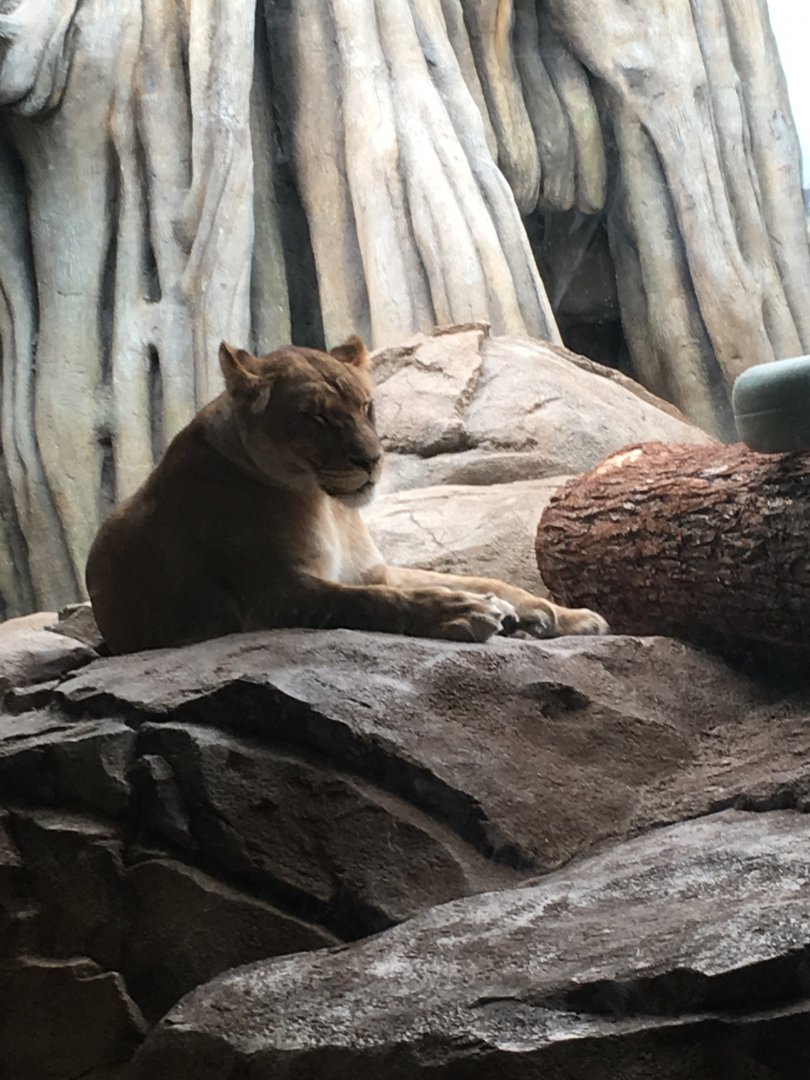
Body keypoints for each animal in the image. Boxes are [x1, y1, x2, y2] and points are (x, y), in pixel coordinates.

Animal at [85, 336, 608, 654]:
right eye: (316, 417)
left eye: (366, 406)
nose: (372, 460)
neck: (326, 504)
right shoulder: (272, 594)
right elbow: (373, 603)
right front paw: (467, 612)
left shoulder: (372, 569)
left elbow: (472, 579)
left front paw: (560, 613)